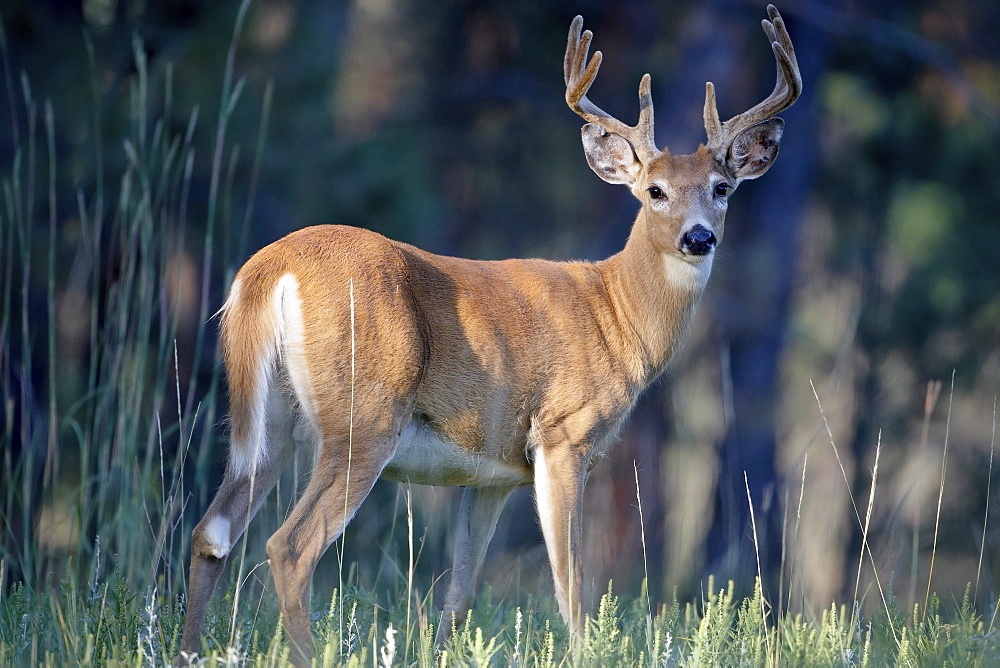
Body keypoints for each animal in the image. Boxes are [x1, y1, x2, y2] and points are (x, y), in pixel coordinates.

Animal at [178, 5, 796, 664]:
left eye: (722, 188)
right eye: (655, 191)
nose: (698, 237)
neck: (617, 315)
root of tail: (266, 271)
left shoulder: (492, 473)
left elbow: (460, 593)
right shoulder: (564, 434)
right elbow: (572, 584)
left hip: (267, 421)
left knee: (212, 532)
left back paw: (187, 648)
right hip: (363, 415)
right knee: (289, 548)